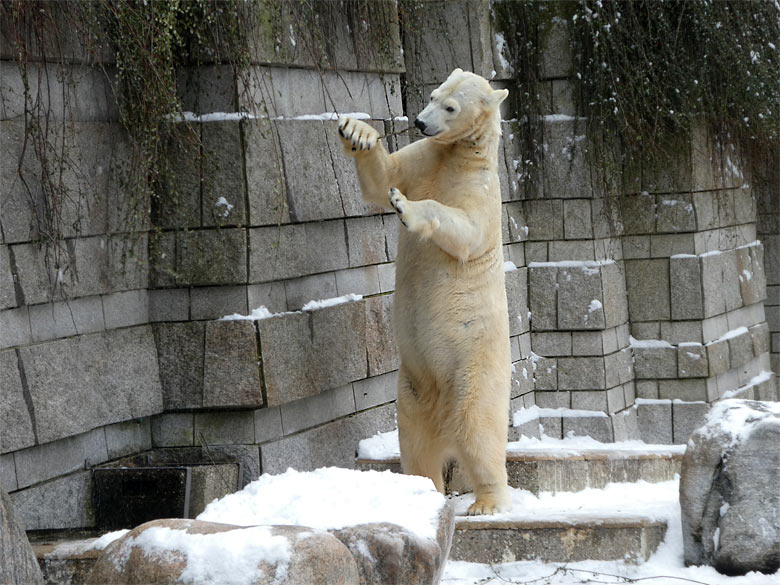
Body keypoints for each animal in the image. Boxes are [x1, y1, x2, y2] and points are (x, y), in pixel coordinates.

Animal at [336, 69, 512, 516]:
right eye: (433, 95)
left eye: (450, 107)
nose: (418, 121)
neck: (462, 155)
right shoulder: (427, 158)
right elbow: (386, 176)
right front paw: (358, 131)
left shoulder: (482, 193)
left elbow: (464, 229)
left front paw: (406, 208)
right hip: (411, 388)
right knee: (415, 444)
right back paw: (419, 489)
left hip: (475, 370)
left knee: (478, 431)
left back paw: (486, 502)